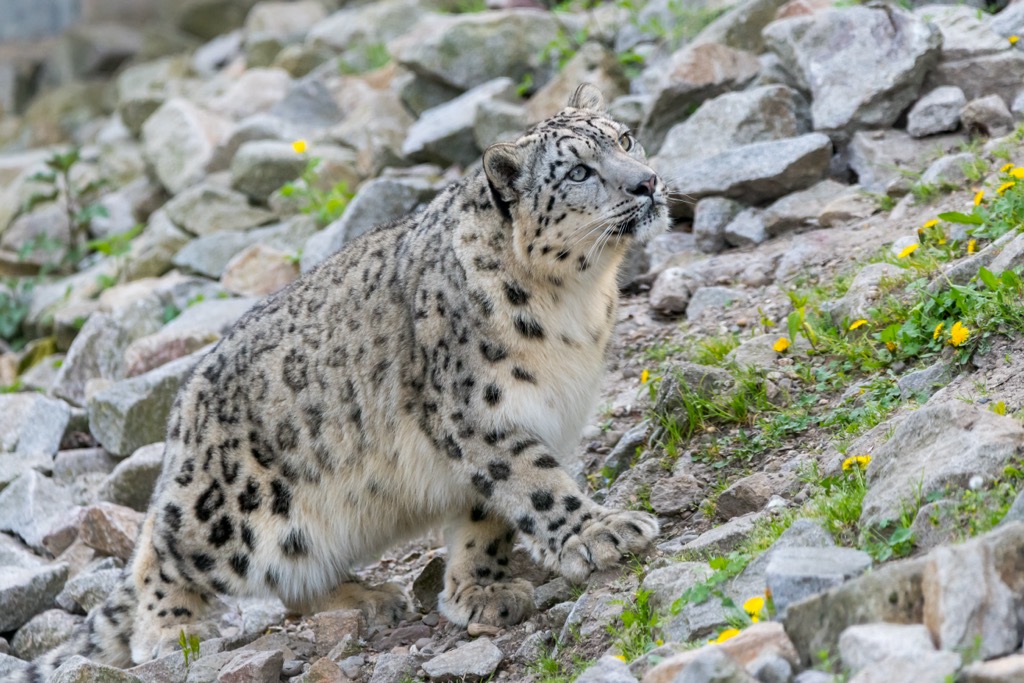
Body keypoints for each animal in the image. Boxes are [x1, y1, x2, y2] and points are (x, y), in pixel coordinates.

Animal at [25, 82, 669, 679]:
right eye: (580, 171)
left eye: (623, 138)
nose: (648, 182)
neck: (576, 307)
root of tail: (183, 414)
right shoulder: (480, 414)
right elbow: (536, 484)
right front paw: (603, 531)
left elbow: (484, 517)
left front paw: (480, 591)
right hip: (235, 512)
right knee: (161, 546)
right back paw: (169, 630)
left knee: (293, 580)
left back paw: (367, 597)